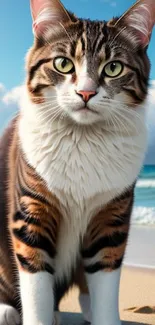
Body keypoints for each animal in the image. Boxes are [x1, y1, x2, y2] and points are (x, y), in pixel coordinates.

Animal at [0, 0, 155, 322]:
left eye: (113, 68)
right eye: (63, 64)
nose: (86, 92)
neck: (82, 137)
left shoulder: (111, 220)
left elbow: (105, 280)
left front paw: (105, 317)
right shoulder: (32, 214)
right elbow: (35, 288)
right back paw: (7, 310)